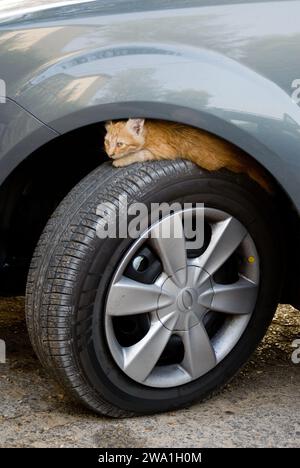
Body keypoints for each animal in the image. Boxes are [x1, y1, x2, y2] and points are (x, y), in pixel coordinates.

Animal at [104, 119, 270, 192]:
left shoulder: (162, 150)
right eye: (106, 142)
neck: (148, 132)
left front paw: (120, 160)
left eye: (119, 144)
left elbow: (139, 153)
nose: (110, 153)